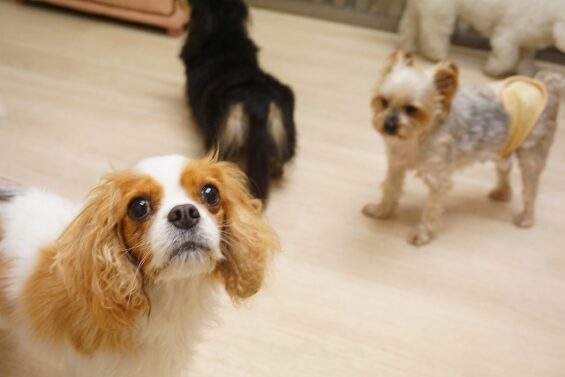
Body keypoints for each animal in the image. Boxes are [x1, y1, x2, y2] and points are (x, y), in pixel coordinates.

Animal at [398, 0, 564, 75]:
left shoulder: (528, 41)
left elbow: (526, 59)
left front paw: (527, 74)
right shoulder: (508, 34)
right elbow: (506, 57)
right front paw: (491, 69)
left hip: (418, 7)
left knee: (410, 23)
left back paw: (408, 45)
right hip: (442, 8)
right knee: (435, 31)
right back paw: (437, 54)